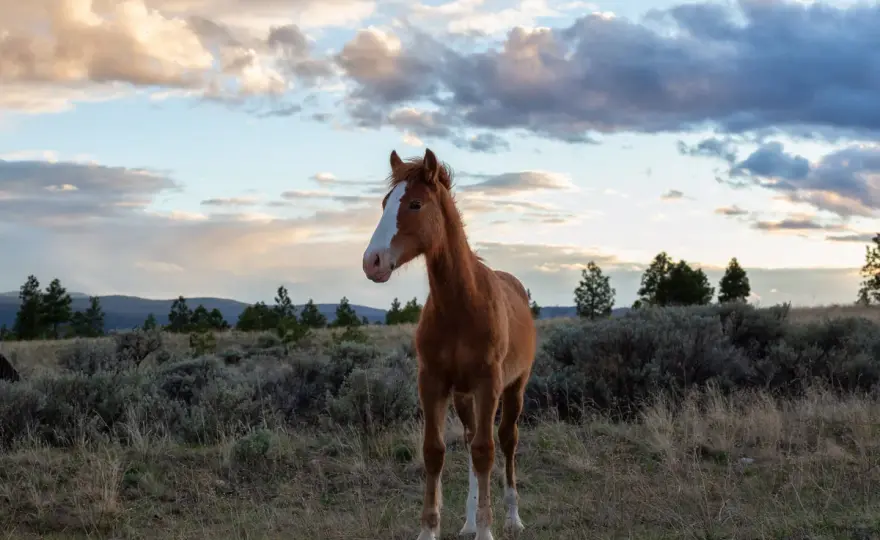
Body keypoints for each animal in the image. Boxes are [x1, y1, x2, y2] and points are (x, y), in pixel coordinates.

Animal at [362, 148, 537, 540]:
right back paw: (468, 521)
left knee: (507, 440)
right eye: (383, 203)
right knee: (472, 440)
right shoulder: (433, 383)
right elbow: (435, 451)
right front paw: (430, 530)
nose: (372, 261)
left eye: (415, 204)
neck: (461, 305)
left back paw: (513, 517)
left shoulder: (489, 383)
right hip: (463, 396)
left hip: (514, 388)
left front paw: (487, 530)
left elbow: (486, 450)